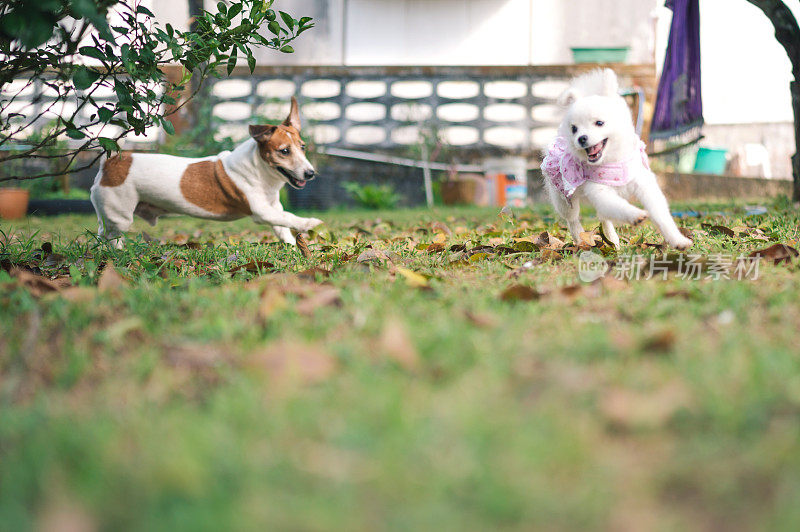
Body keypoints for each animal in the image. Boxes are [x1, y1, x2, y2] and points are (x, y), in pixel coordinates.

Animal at [90, 97, 322, 247]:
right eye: (284, 151)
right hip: (119, 216)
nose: (311, 174)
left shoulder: (273, 207)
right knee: (112, 237)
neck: (260, 171)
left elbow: (282, 224)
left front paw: (292, 246)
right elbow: (288, 217)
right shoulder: (261, 211)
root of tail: (111, 162)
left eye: (302, 147)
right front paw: (309, 223)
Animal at [540, 69, 692, 250]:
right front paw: (635, 214)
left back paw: (612, 240)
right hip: (563, 199)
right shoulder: (600, 192)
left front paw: (677, 240)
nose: (581, 138)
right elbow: (618, 206)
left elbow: (661, 214)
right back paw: (580, 239)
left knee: (603, 217)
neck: (612, 162)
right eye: (574, 129)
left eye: (599, 123)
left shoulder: (644, 185)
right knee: (573, 218)